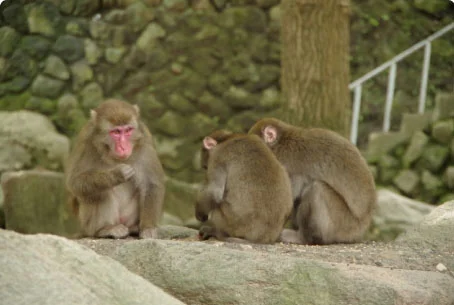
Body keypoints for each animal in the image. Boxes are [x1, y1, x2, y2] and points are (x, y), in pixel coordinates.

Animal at [66, 98, 166, 239]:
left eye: (128, 130)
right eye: (116, 132)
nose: (123, 147)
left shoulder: (145, 142)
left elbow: (150, 184)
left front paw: (148, 228)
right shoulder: (86, 142)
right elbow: (75, 182)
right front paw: (116, 174)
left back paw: (134, 228)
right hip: (87, 225)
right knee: (101, 191)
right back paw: (105, 229)